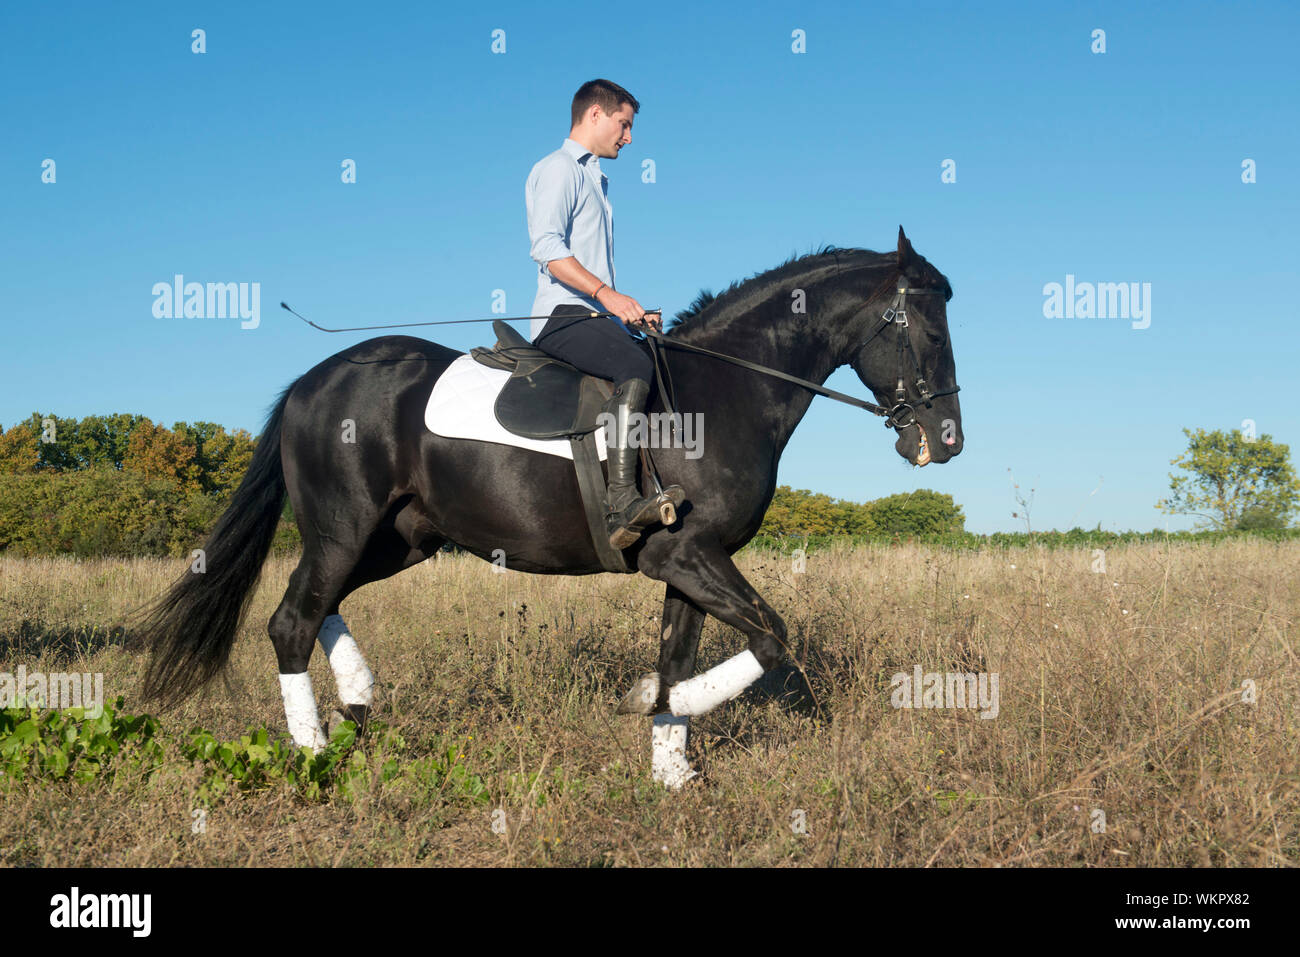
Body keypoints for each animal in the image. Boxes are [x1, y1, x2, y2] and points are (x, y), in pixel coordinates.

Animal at [138, 227, 964, 788]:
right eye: (929, 328)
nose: (949, 439)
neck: (725, 390)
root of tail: (311, 381)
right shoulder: (687, 553)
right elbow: (769, 637)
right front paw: (647, 703)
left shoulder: (686, 561)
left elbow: (681, 653)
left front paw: (671, 770)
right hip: (343, 529)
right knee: (292, 619)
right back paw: (313, 755)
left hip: (400, 538)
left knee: (319, 606)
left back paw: (359, 701)